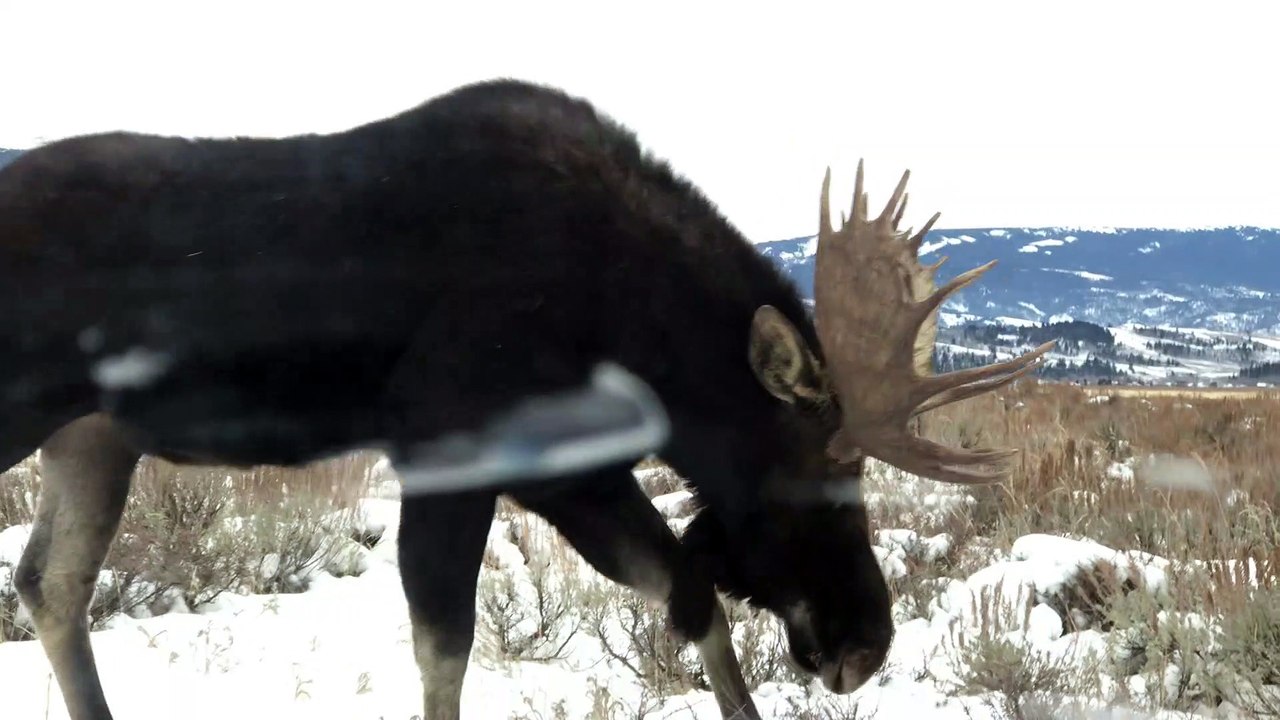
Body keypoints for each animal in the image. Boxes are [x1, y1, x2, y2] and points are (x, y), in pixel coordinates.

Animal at [0, 78, 1052, 720]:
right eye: (825, 475)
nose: (865, 641)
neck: (627, 327)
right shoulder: (454, 443)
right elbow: (445, 645)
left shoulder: (570, 470)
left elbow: (692, 597)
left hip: (92, 437)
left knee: (50, 582)